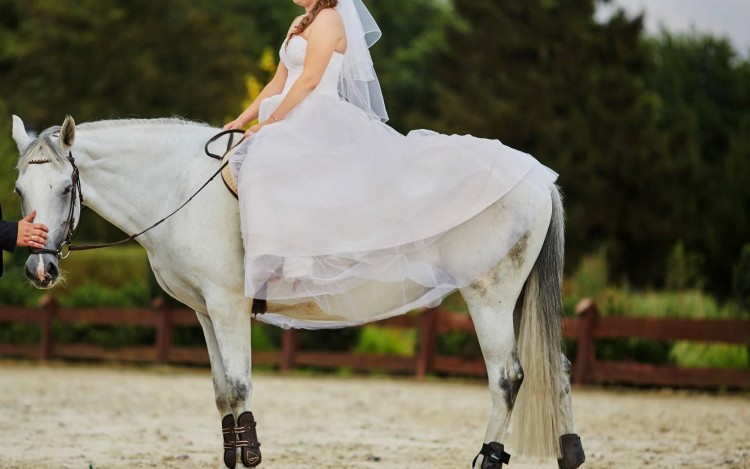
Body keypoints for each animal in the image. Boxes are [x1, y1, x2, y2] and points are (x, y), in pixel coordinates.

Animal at [10, 115, 585, 469]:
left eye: (66, 187)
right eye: (19, 190)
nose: (39, 268)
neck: (181, 188)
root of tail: (537, 176)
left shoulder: (228, 307)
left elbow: (240, 387)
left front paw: (250, 457)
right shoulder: (204, 313)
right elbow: (221, 391)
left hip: (490, 298)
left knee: (507, 378)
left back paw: (489, 457)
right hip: (514, 300)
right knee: (556, 367)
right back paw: (569, 452)